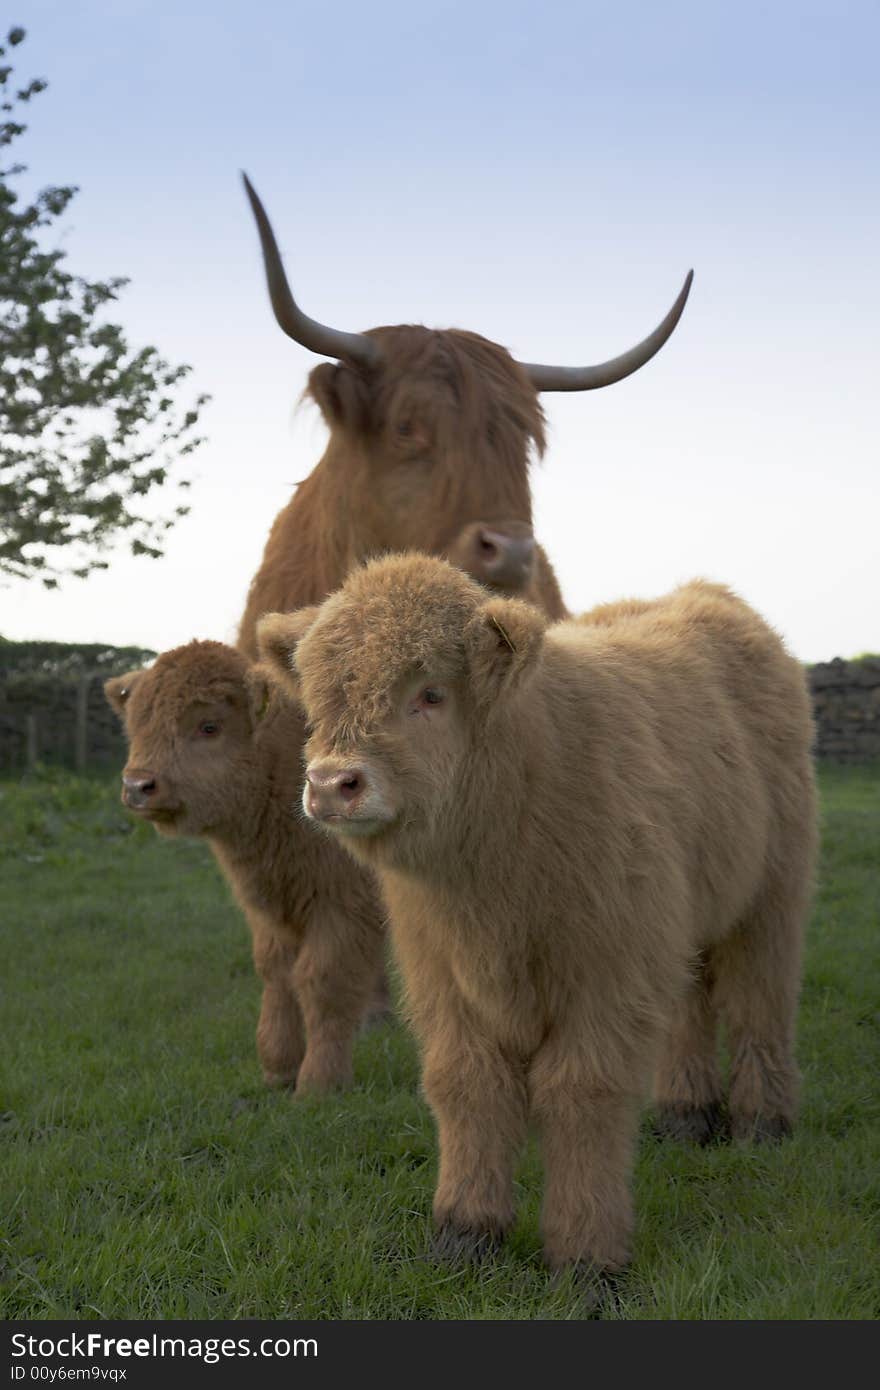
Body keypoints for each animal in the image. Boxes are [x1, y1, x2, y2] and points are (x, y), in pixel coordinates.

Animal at [102, 644, 383, 1100]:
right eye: (138, 724)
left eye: (209, 726)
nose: (138, 786)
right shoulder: (271, 907)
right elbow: (277, 973)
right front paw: (278, 1068)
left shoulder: (343, 906)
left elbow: (323, 981)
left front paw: (319, 1083)